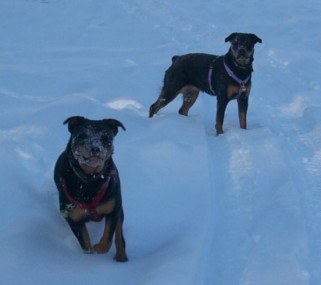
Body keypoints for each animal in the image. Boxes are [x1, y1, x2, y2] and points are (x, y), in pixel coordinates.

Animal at [53, 116, 127, 262]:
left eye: (105, 137)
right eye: (82, 135)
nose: (95, 148)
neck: (90, 180)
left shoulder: (113, 209)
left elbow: (109, 237)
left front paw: (99, 247)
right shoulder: (73, 217)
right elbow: (85, 243)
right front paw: (90, 255)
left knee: (119, 235)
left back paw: (121, 256)